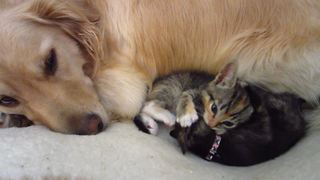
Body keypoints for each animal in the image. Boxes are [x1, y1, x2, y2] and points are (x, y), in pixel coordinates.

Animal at [134, 63, 306, 166]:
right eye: (214, 107)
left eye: (228, 123)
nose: (211, 123)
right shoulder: (194, 90)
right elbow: (187, 96)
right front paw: (187, 116)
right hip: (173, 86)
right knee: (148, 104)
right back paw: (167, 116)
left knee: (144, 108)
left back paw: (151, 125)